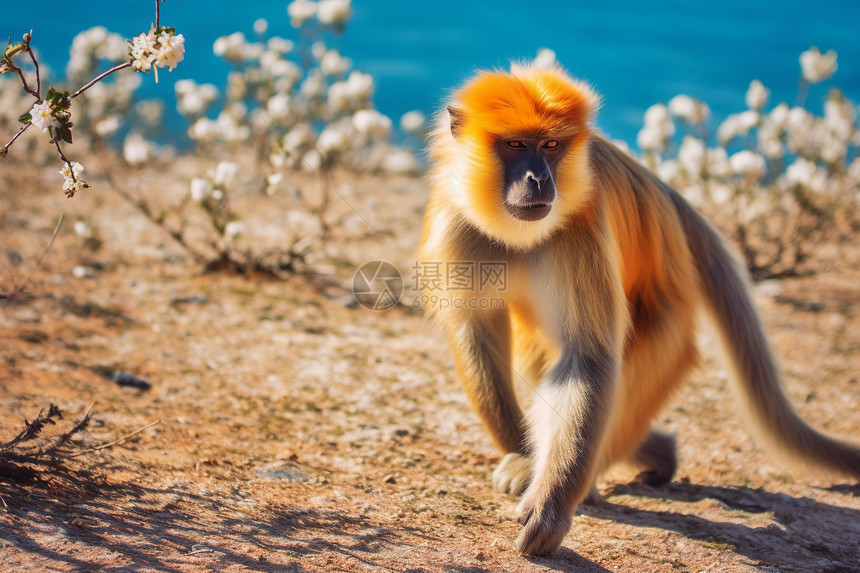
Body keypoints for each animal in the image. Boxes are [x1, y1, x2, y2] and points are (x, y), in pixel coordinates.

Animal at [414, 62, 856, 556]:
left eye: (550, 146)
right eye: (515, 145)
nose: (540, 180)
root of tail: (670, 201)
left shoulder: (580, 224)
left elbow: (587, 359)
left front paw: (549, 503)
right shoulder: (457, 219)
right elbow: (476, 328)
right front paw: (526, 460)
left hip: (666, 326)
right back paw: (654, 452)